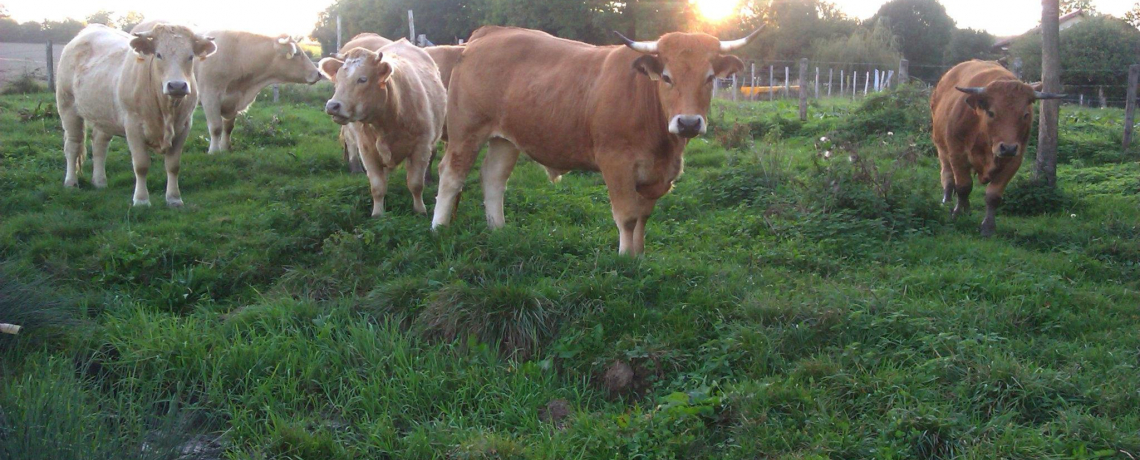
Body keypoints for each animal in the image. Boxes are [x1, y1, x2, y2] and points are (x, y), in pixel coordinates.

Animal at [55, 23, 215, 206]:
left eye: (190, 56)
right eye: (158, 54)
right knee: (72, 145)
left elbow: (173, 166)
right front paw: (141, 200)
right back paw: (71, 182)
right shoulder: (133, 126)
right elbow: (141, 165)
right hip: (67, 106)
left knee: (99, 145)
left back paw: (100, 181)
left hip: (104, 116)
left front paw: (174, 199)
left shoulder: (184, 126)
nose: (177, 86)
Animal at [131, 20, 323, 153]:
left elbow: (228, 127)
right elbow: (216, 127)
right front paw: (214, 151)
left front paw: (226, 148)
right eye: (297, 54)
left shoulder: (233, 100)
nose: (318, 73)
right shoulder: (210, 95)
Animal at [430, 25, 761, 255]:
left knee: (493, 178)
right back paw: (439, 228)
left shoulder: (656, 174)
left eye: (710, 78)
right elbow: (627, 216)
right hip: (466, 131)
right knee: (451, 175)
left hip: (506, 139)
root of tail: (488, 34)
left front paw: (639, 255)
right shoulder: (616, 163)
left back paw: (498, 229)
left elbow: (643, 216)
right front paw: (625, 258)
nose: (689, 122)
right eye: (667, 77)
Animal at [930, 59, 1062, 235]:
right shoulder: (957, 155)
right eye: (991, 113)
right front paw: (959, 213)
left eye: (1025, 115)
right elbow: (963, 187)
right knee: (947, 175)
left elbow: (993, 195)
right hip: (942, 149)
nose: (1008, 148)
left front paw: (988, 226)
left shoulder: (1014, 161)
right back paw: (947, 200)